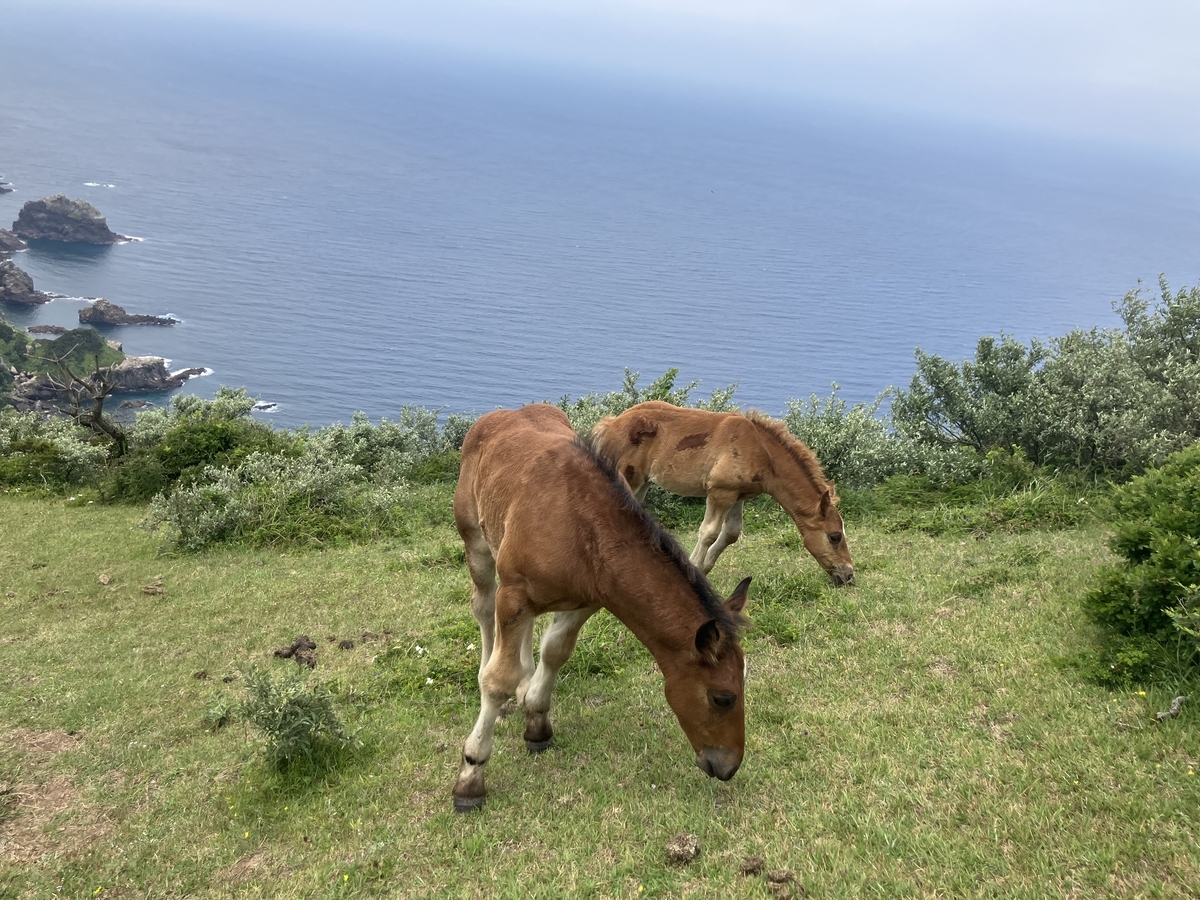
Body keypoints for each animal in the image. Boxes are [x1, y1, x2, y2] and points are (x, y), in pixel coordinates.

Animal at [451, 404, 750, 813]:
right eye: (723, 698)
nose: (729, 765)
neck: (582, 526)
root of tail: (502, 414)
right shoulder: (514, 595)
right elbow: (497, 681)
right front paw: (471, 774)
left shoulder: (586, 602)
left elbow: (555, 651)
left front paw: (537, 721)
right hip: (476, 542)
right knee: (483, 608)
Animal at [592, 400, 855, 585]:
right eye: (834, 536)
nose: (849, 575)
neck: (762, 451)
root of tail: (610, 424)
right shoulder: (720, 492)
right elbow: (708, 532)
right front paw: (695, 570)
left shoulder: (737, 495)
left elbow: (731, 533)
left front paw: (706, 568)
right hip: (628, 478)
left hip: (642, 483)